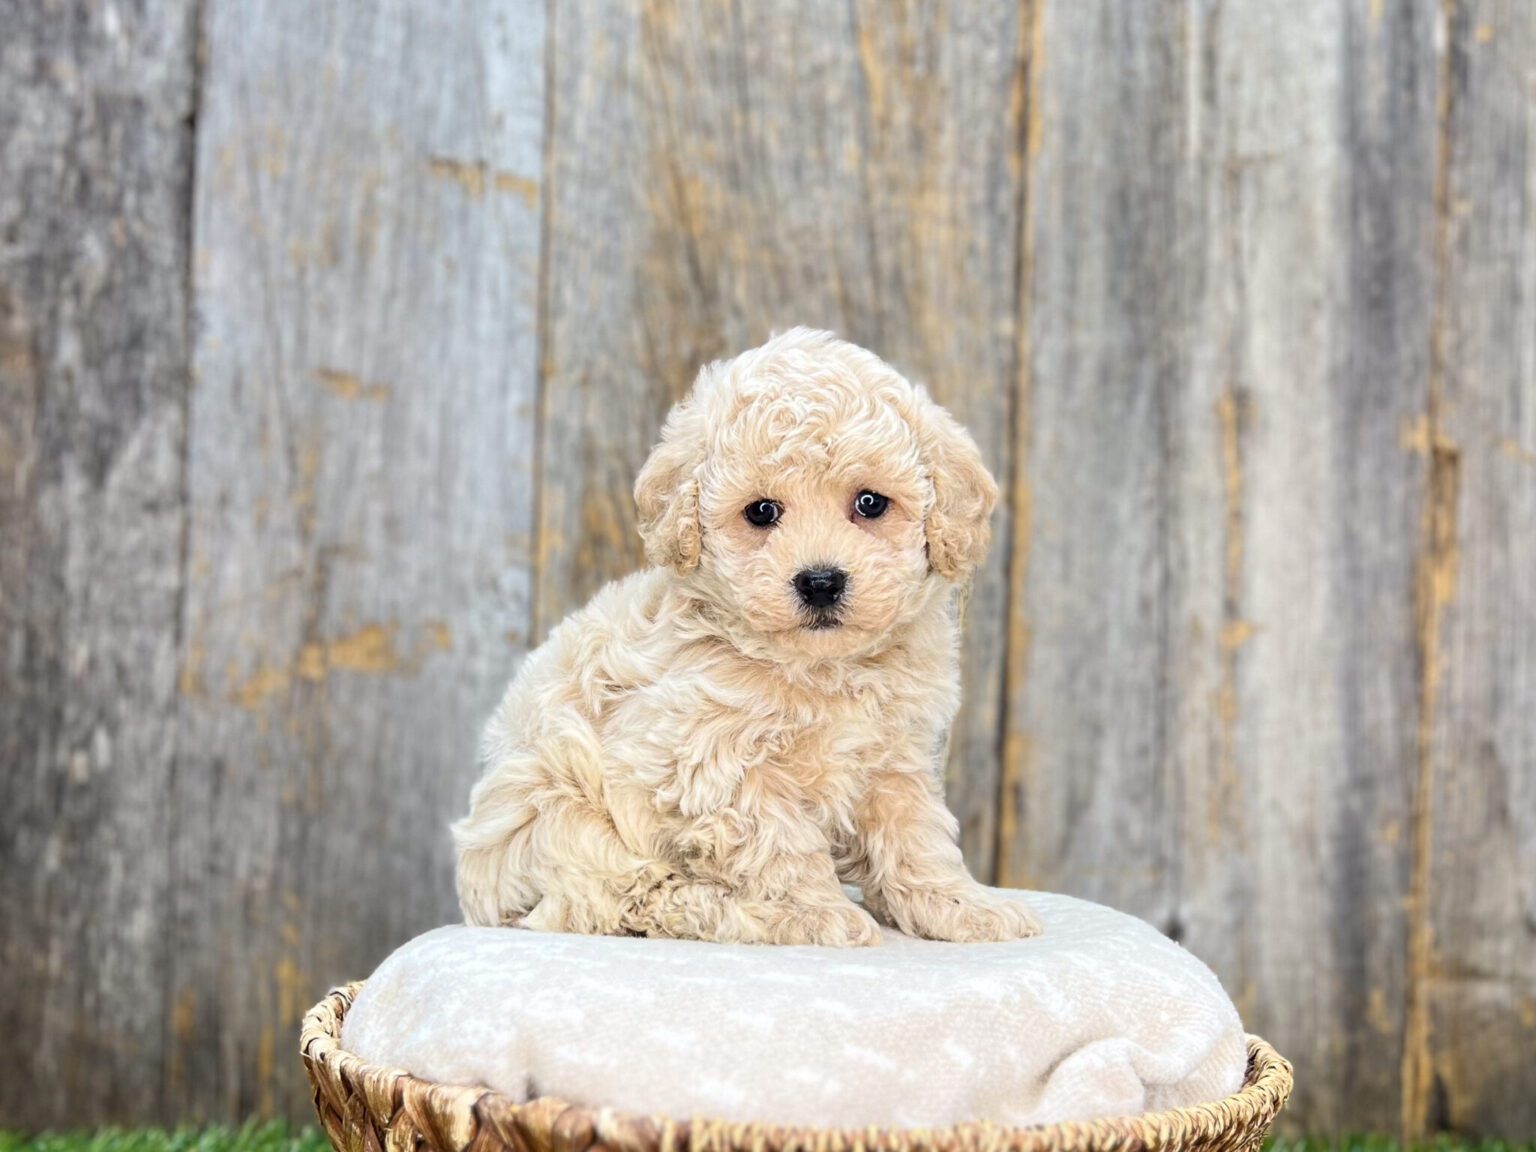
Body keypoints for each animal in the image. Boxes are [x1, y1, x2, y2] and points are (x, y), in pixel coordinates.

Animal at [454, 329, 1041, 946]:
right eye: (761, 511)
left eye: (870, 503)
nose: (821, 581)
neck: (820, 669)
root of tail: (479, 901)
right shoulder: (715, 766)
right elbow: (781, 846)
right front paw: (818, 913)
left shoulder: (896, 760)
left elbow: (917, 839)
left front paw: (962, 905)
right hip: (559, 813)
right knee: (626, 898)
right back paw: (734, 911)